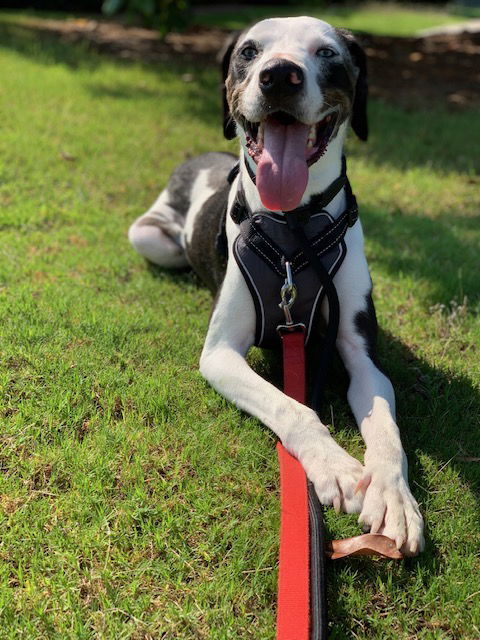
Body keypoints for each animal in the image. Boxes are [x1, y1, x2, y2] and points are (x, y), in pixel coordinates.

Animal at [128, 15, 424, 556]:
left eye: (327, 53)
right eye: (249, 50)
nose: (279, 75)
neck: (293, 228)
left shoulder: (362, 355)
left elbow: (386, 430)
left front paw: (394, 498)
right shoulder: (220, 354)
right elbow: (293, 407)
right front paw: (336, 467)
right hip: (149, 237)